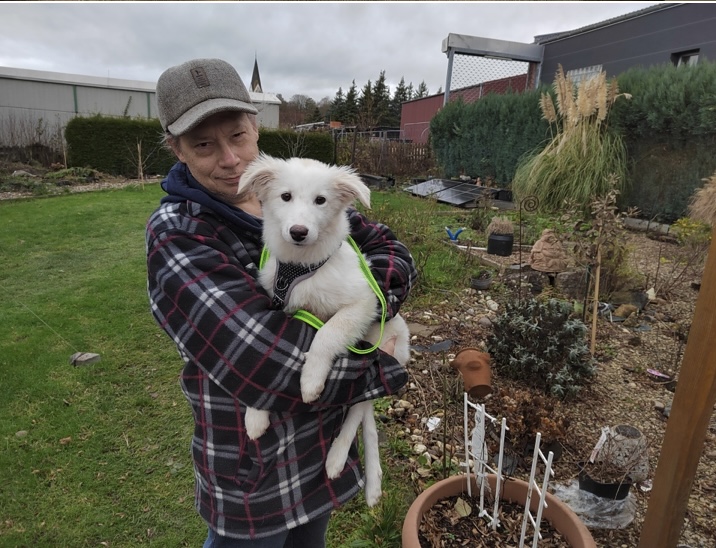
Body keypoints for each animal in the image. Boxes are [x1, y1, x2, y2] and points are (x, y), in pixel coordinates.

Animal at [237, 153, 411, 507]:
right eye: (285, 196)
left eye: (321, 200)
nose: (298, 232)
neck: (301, 265)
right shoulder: (278, 305)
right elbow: (263, 373)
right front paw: (255, 415)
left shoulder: (363, 303)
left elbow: (326, 334)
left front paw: (311, 382)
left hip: (382, 342)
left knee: (360, 406)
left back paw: (337, 458)